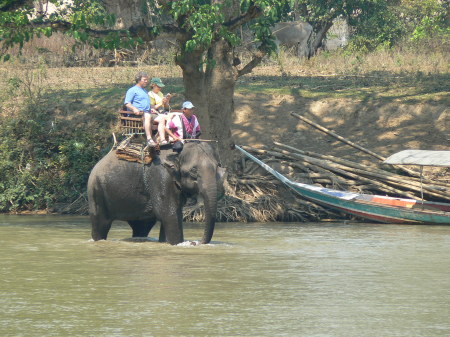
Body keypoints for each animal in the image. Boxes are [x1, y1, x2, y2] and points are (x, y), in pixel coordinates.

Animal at [86, 141, 227, 244]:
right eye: (193, 171)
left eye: (218, 166)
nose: (195, 242)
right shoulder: (161, 177)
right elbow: (169, 214)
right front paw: (178, 243)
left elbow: (171, 216)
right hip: (96, 190)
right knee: (101, 224)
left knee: (142, 226)